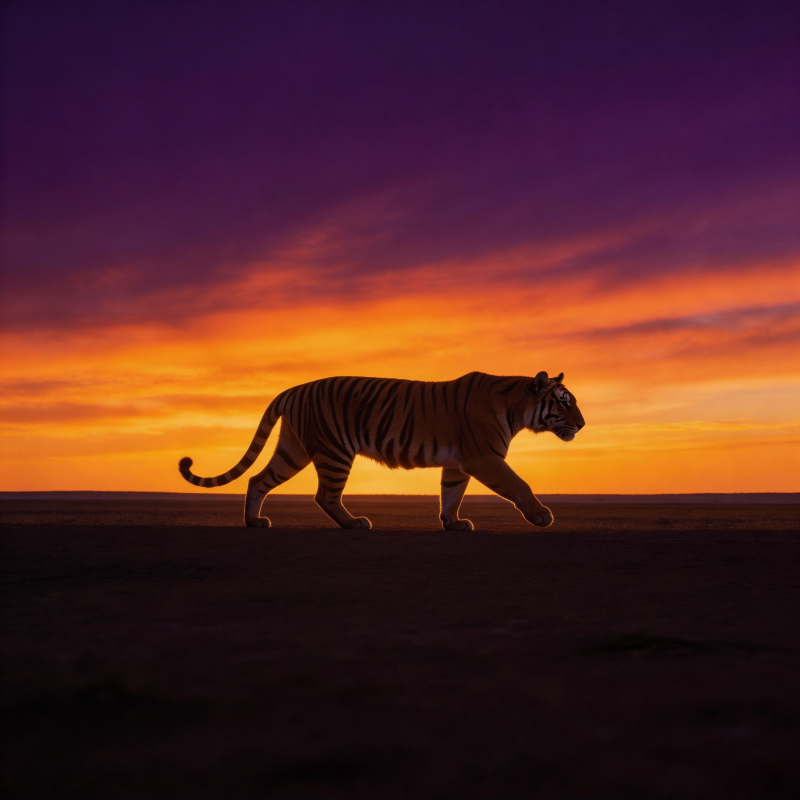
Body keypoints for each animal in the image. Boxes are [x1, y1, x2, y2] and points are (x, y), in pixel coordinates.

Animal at [178, 371, 584, 530]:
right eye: (563, 403)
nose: (582, 425)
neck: (518, 407)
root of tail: (293, 389)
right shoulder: (485, 457)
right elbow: (520, 485)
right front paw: (542, 515)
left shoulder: (459, 463)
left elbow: (451, 495)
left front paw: (452, 523)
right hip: (334, 451)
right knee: (324, 495)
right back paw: (354, 523)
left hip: (293, 449)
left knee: (258, 480)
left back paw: (254, 521)